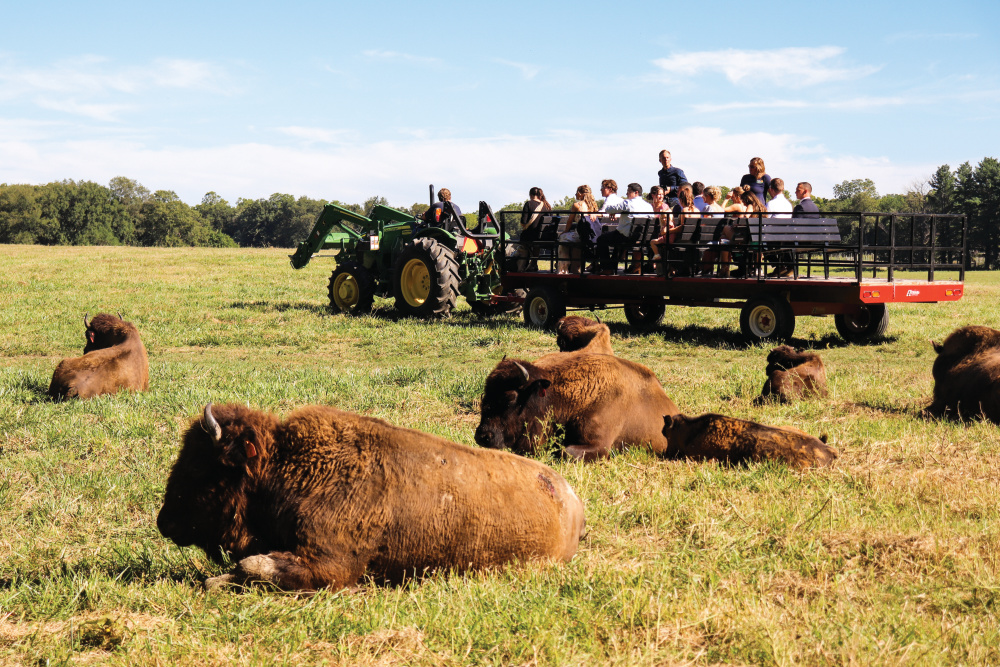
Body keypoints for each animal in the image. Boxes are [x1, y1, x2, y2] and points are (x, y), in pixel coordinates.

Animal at [157, 403, 586, 591]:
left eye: (201, 467)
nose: (163, 521)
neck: (284, 466)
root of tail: (571, 501)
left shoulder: (330, 565)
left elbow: (253, 566)